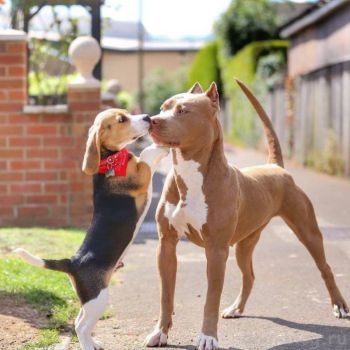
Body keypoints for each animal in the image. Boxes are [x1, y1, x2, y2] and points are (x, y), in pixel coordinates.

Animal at [15, 108, 169, 350]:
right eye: (121, 119)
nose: (147, 117)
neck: (109, 160)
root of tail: (73, 262)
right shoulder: (141, 175)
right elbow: (146, 154)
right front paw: (161, 146)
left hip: (90, 300)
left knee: (80, 320)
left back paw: (94, 342)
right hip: (99, 298)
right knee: (81, 326)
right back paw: (88, 344)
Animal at [144, 80, 348, 348]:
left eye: (183, 111)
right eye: (163, 108)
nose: (152, 120)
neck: (189, 173)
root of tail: (276, 167)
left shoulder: (216, 251)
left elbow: (211, 298)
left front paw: (207, 337)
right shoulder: (166, 245)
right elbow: (165, 295)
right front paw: (160, 332)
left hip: (308, 231)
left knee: (325, 268)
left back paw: (339, 306)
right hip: (244, 244)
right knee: (249, 276)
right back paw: (235, 308)